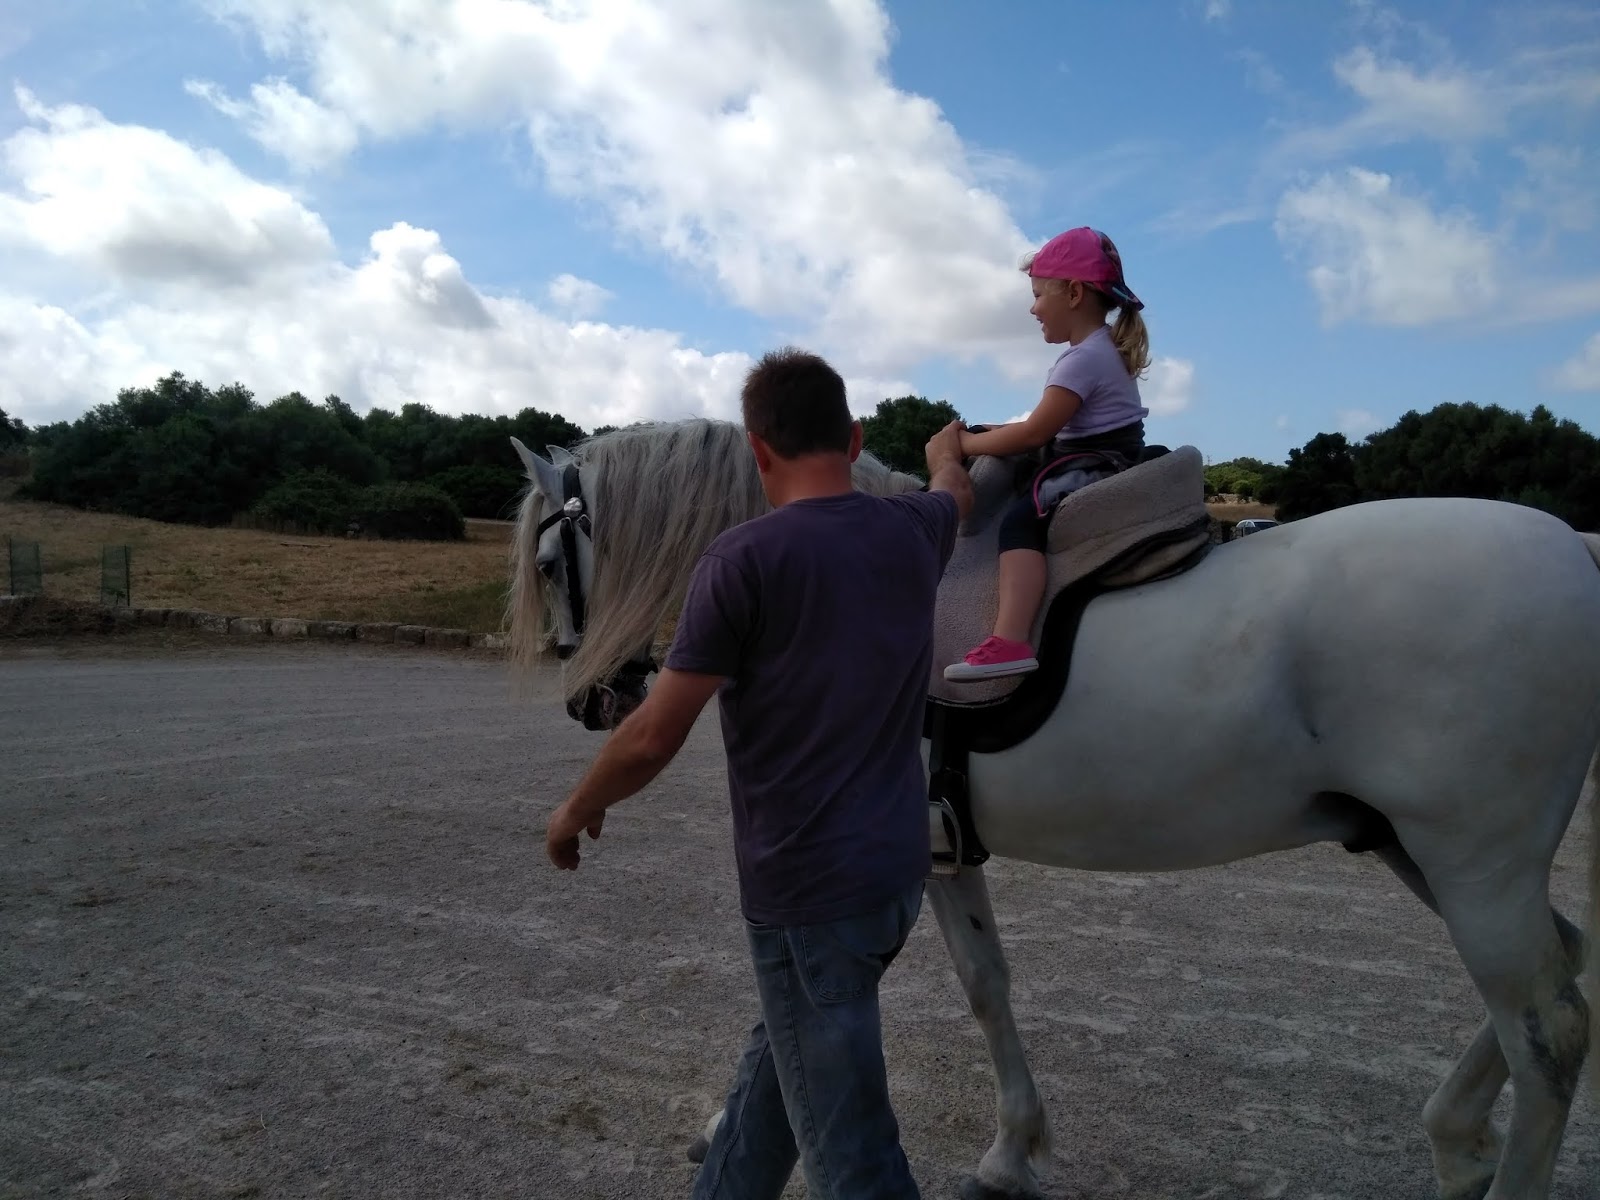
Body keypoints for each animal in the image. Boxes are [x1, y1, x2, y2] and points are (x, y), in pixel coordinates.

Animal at [508, 419, 1599, 1200]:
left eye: (553, 562)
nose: (589, 700)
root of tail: (1576, 553)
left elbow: (883, 999)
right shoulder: (933, 855)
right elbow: (984, 985)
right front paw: (1008, 1150)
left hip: (1473, 864)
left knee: (1549, 1032)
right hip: (1425, 854)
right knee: (1561, 968)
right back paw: (1457, 1140)